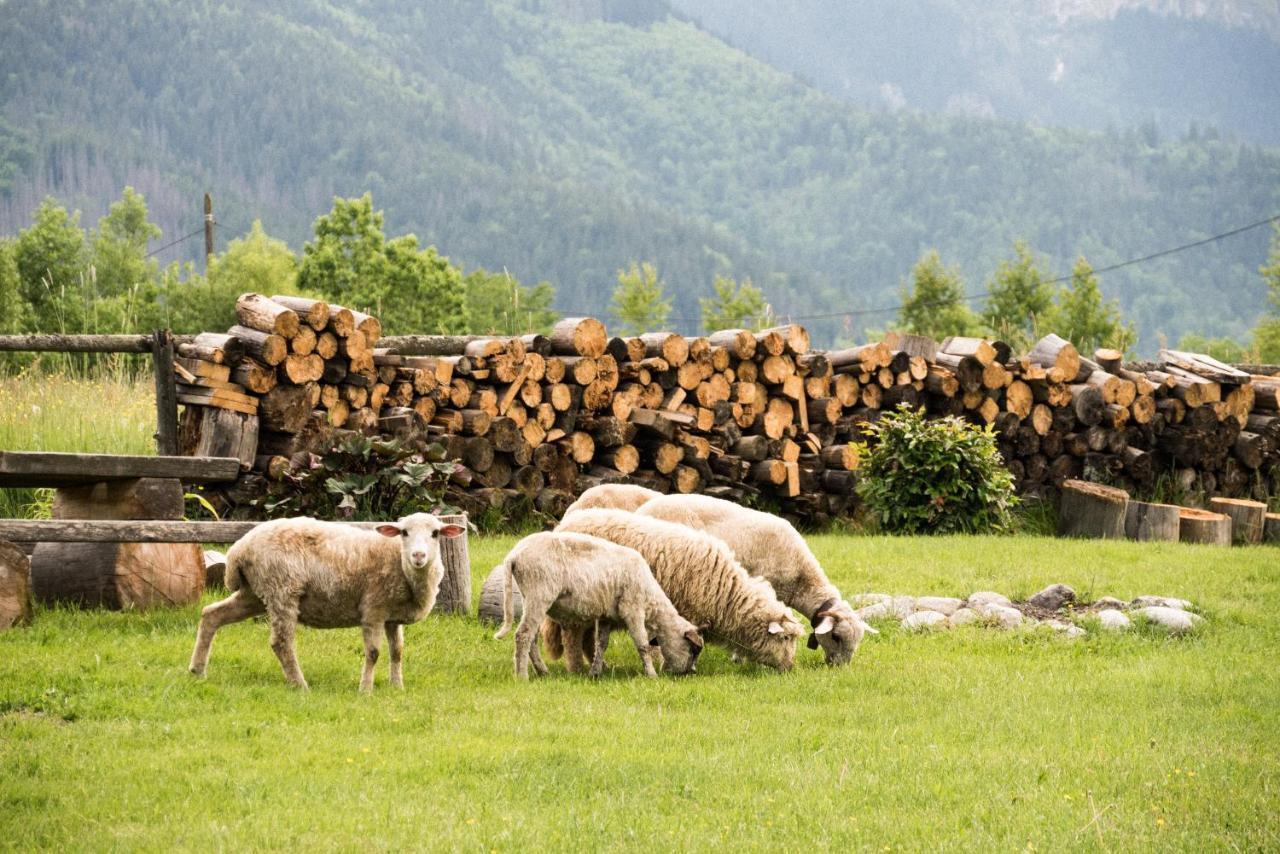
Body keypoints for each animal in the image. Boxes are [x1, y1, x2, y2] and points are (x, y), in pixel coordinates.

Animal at [186, 512, 468, 691]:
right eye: (404, 533)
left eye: (435, 533)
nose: (418, 555)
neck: (400, 563)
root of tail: (238, 549)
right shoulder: (373, 609)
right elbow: (374, 652)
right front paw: (365, 690)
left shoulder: (391, 617)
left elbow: (397, 651)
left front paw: (397, 687)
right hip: (282, 590)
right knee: (281, 643)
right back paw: (300, 685)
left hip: (254, 592)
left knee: (212, 614)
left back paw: (197, 671)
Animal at [491, 530, 711, 676]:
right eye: (693, 649)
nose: (690, 672)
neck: (651, 600)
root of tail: (514, 555)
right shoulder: (633, 609)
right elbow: (642, 644)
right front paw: (651, 675)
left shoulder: (607, 616)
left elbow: (601, 644)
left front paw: (595, 673)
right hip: (539, 593)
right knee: (523, 635)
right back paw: (522, 676)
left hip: (529, 597)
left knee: (532, 638)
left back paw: (542, 671)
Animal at [558, 504, 798, 670]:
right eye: (785, 638)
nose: (789, 668)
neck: (725, 594)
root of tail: (567, 522)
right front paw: (669, 667)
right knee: (571, 635)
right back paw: (576, 668)